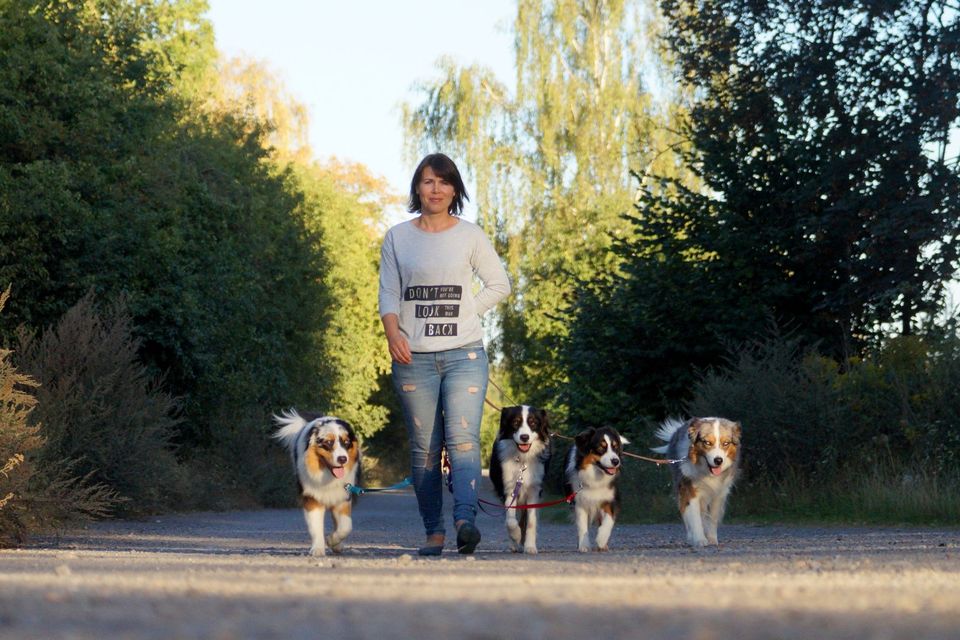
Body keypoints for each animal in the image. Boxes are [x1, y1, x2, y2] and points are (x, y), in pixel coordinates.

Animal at [272, 410, 362, 556]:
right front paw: (318, 549)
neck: (327, 476)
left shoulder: (343, 496)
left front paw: (332, 541)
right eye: (329, 442)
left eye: (347, 442)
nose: (343, 459)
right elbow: (315, 527)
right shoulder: (312, 497)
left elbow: (346, 526)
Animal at [492, 408, 552, 552]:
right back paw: (514, 543)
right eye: (515, 422)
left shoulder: (534, 490)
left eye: (533, 423)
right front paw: (516, 536)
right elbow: (510, 520)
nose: (524, 437)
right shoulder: (508, 489)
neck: (523, 459)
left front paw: (530, 546)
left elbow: (530, 521)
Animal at [564, 424, 632, 552]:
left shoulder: (610, 499)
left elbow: (609, 520)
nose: (616, 461)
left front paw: (602, 539)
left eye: (615, 447)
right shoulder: (579, 501)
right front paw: (584, 545)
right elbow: (582, 525)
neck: (595, 476)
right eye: (601, 447)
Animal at [652, 418, 744, 548]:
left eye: (726, 443)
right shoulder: (689, 490)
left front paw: (712, 539)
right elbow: (695, 518)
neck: (707, 471)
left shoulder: (719, 493)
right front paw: (700, 540)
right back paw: (691, 537)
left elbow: (712, 517)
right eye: (707, 443)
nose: (718, 460)